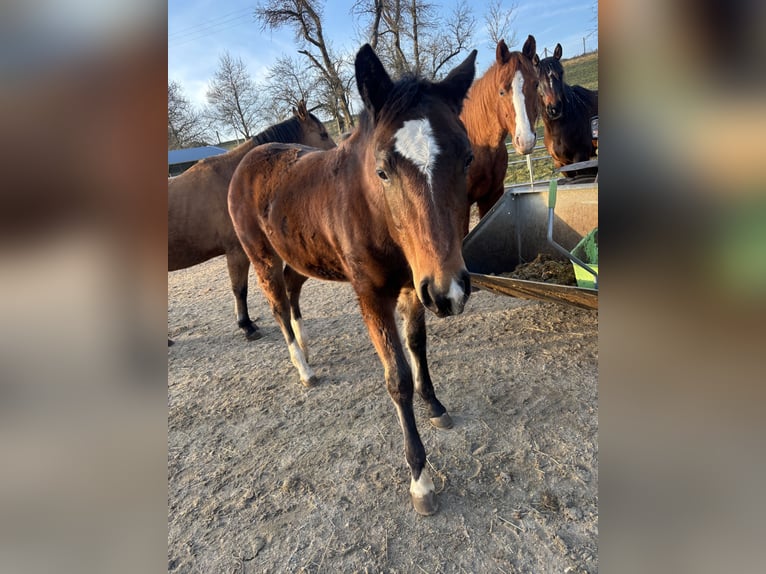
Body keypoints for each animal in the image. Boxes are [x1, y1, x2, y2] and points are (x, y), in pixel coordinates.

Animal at [228, 44, 476, 515]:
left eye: (468, 157)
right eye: (383, 171)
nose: (449, 293)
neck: (371, 211)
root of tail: (247, 159)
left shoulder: (413, 286)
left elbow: (417, 345)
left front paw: (434, 404)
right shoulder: (373, 295)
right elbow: (397, 377)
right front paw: (420, 479)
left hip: (300, 255)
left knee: (292, 290)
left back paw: (306, 346)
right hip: (261, 256)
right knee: (277, 304)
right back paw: (303, 367)